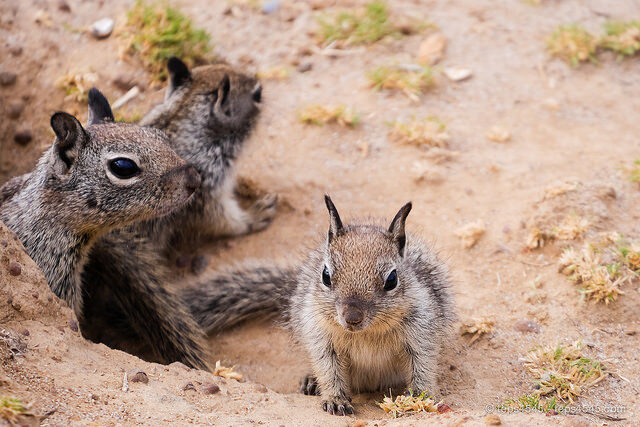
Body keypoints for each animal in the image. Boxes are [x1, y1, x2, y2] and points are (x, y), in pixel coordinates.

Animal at [182, 196, 458, 414]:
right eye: (326, 275)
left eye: (392, 280)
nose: (352, 317)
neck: (365, 334)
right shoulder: (320, 336)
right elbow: (329, 369)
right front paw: (335, 399)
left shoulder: (420, 332)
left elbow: (422, 364)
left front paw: (420, 398)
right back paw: (311, 382)